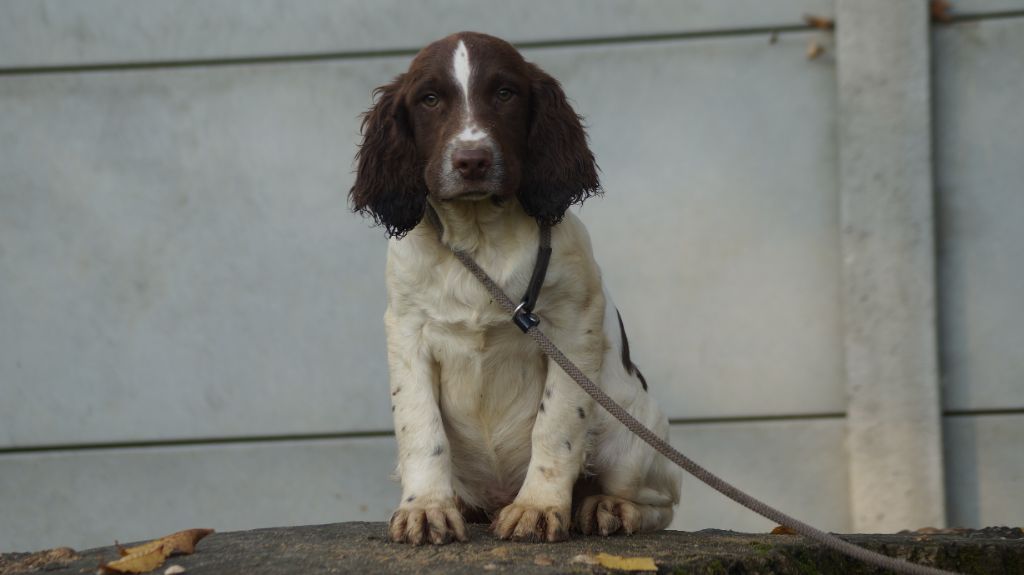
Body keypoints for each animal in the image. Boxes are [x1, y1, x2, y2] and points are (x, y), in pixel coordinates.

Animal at [352, 30, 679, 540]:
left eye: (505, 93)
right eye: (429, 99)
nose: (472, 161)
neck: (479, 234)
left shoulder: (572, 328)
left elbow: (556, 425)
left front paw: (538, 507)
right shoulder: (406, 329)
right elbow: (419, 425)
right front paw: (426, 507)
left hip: (626, 430)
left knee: (659, 501)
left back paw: (608, 507)